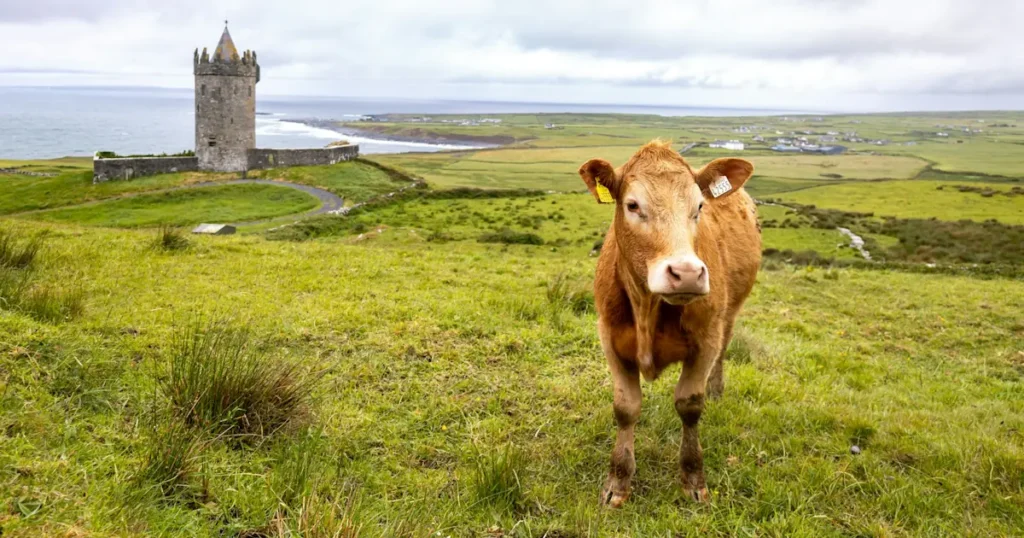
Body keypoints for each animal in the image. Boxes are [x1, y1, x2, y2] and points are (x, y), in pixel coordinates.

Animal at [578, 140, 760, 507]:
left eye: (699, 206)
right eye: (633, 205)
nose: (687, 273)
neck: (647, 309)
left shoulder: (705, 340)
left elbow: (689, 405)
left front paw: (693, 479)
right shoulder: (610, 338)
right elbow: (626, 407)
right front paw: (618, 482)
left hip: (730, 314)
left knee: (724, 351)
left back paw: (717, 389)